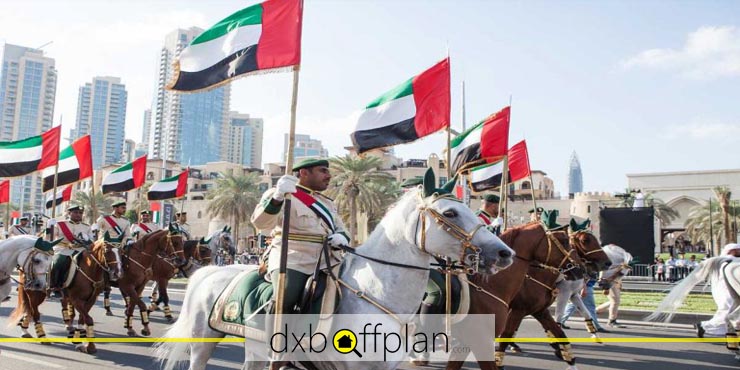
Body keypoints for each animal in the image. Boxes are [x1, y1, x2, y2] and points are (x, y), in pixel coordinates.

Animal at [155, 188, 516, 370]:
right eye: (451, 213)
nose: (503, 253)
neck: (376, 297)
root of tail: (211, 270)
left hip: (254, 346)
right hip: (203, 342)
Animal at [440, 223, 580, 370]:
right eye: (564, 241)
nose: (580, 269)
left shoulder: (540, 311)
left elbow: (559, 333)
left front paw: (569, 359)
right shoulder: (516, 312)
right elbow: (506, 336)